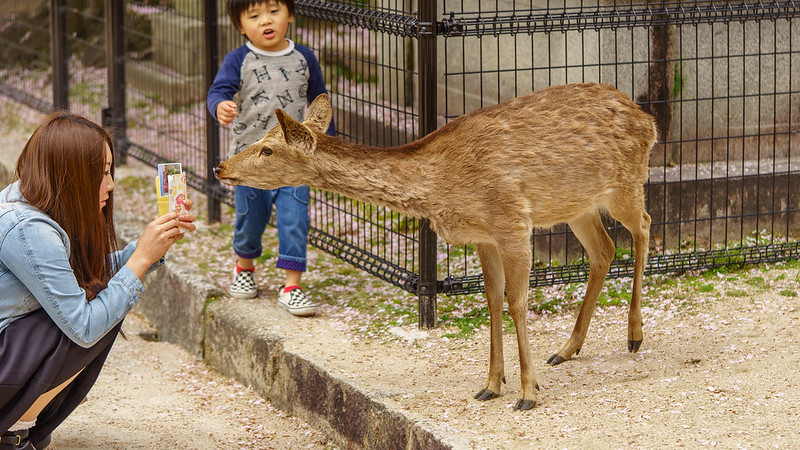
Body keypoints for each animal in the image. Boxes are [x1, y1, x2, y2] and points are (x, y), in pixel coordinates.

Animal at [214, 82, 656, 410]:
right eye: (260, 139)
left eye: (268, 148)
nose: (221, 167)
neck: (439, 185)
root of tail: (647, 119)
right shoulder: (482, 235)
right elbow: (492, 299)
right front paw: (491, 385)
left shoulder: (511, 221)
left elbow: (517, 302)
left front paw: (529, 393)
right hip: (577, 202)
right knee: (604, 249)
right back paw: (567, 348)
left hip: (626, 181)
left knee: (644, 227)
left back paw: (634, 334)